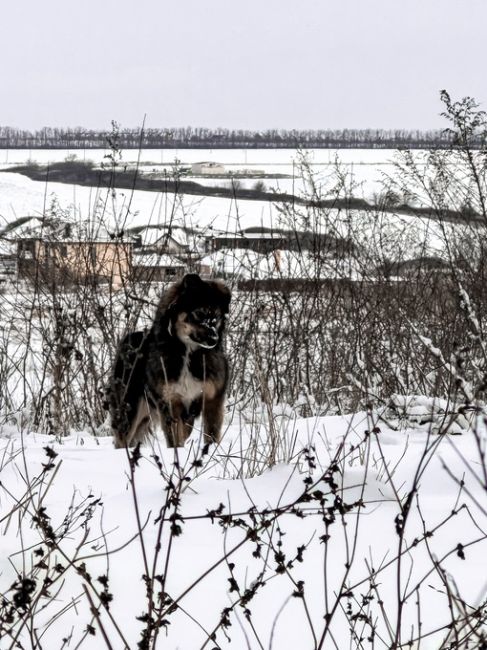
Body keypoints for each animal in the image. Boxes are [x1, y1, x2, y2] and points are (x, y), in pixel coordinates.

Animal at [109, 272, 232, 446]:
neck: (188, 353)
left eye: (217, 317)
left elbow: (211, 435)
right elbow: (175, 439)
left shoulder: (212, 400)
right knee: (122, 439)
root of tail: (128, 339)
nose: (214, 339)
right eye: (200, 313)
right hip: (129, 409)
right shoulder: (170, 403)